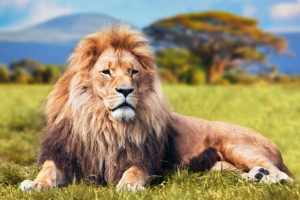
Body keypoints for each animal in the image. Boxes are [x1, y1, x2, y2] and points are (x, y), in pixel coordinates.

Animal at [19, 25, 292, 192]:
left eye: (133, 72)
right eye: (106, 72)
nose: (126, 90)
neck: (104, 124)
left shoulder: (143, 159)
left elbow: (133, 172)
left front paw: (128, 186)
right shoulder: (65, 155)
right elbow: (48, 170)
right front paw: (34, 184)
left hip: (237, 146)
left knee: (285, 176)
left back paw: (268, 178)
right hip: (218, 167)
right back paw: (256, 176)